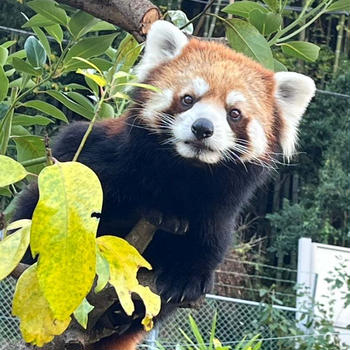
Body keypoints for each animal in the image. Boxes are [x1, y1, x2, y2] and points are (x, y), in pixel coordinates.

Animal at [13, 21, 314, 350]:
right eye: (188, 99)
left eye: (234, 113)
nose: (203, 128)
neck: (184, 173)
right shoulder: (105, 160)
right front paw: (155, 212)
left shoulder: (219, 209)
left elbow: (211, 241)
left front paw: (188, 275)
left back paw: (119, 316)